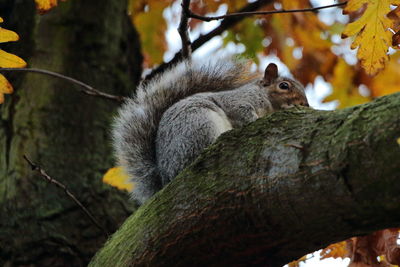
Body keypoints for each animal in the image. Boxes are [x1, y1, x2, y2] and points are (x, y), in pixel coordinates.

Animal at [112, 57, 310, 205]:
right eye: (284, 86)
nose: (305, 104)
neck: (267, 101)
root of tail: (166, 176)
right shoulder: (238, 102)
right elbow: (242, 113)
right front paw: (256, 120)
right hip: (200, 124)